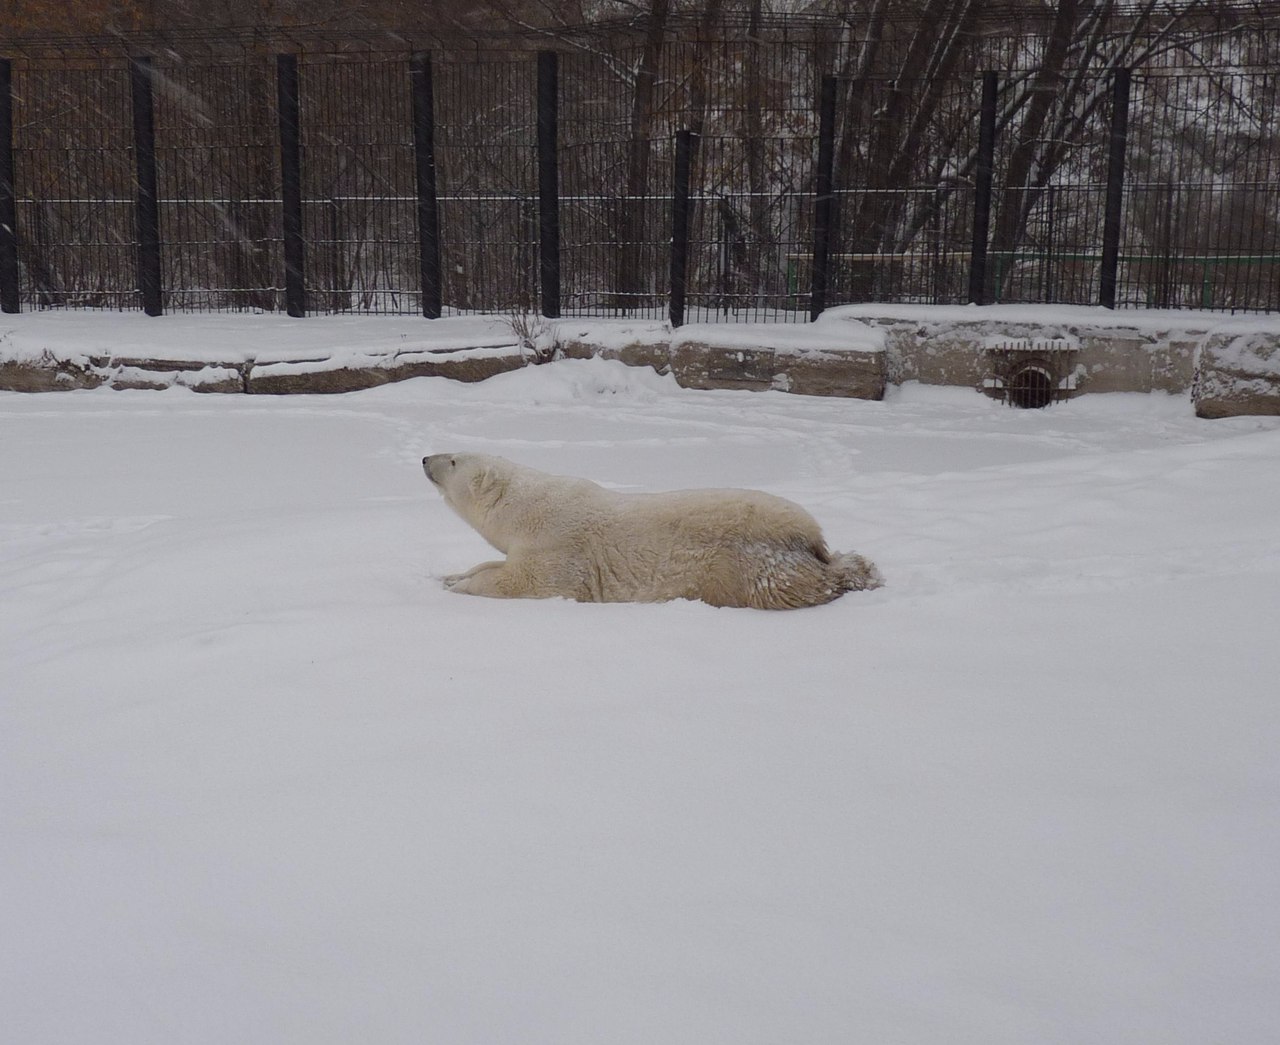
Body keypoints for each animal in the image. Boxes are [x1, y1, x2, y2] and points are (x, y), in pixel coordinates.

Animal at [424, 453, 885, 607]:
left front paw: (461, 587)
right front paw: (447, 574)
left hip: (745, 562)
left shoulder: (558, 544)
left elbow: (529, 581)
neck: (525, 508)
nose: (426, 458)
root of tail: (811, 537)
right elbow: (492, 563)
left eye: (454, 460)